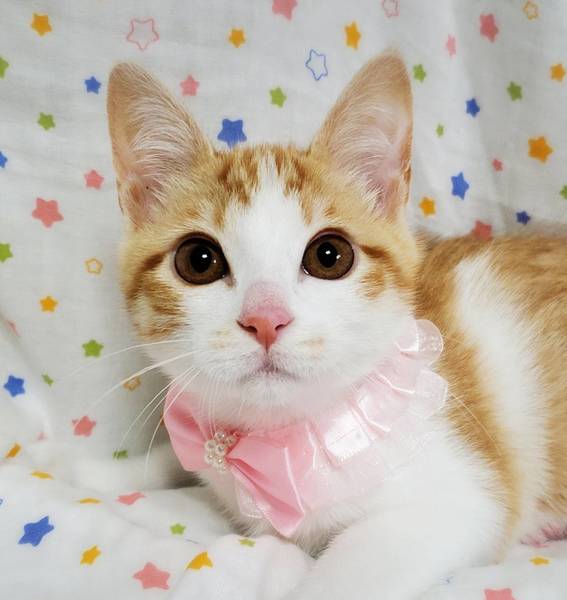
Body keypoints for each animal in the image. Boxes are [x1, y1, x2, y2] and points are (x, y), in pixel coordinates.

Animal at [106, 51, 567, 599]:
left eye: (330, 255)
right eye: (198, 260)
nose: (265, 319)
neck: (278, 443)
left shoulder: (460, 503)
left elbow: (345, 576)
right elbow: (178, 456)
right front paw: (96, 470)